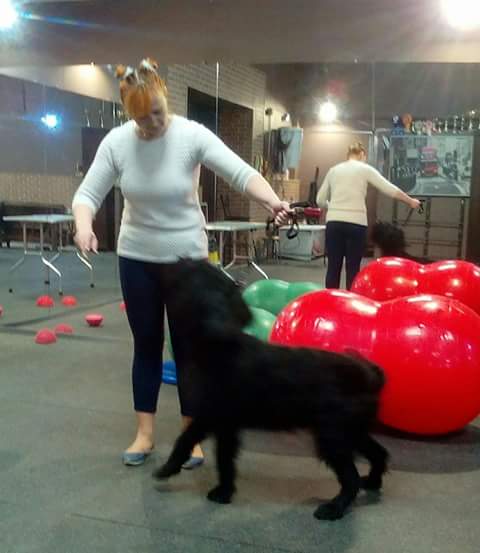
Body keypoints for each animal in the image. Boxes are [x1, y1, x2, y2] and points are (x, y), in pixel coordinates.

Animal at [153, 259, 389, 521]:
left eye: (188, 268)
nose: (173, 261)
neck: (218, 343)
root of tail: (369, 374)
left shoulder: (214, 417)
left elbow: (198, 445)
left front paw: (183, 475)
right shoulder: (222, 423)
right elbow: (209, 450)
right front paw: (216, 487)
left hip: (332, 436)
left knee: (351, 477)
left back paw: (334, 508)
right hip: (352, 430)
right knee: (379, 454)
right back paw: (373, 482)